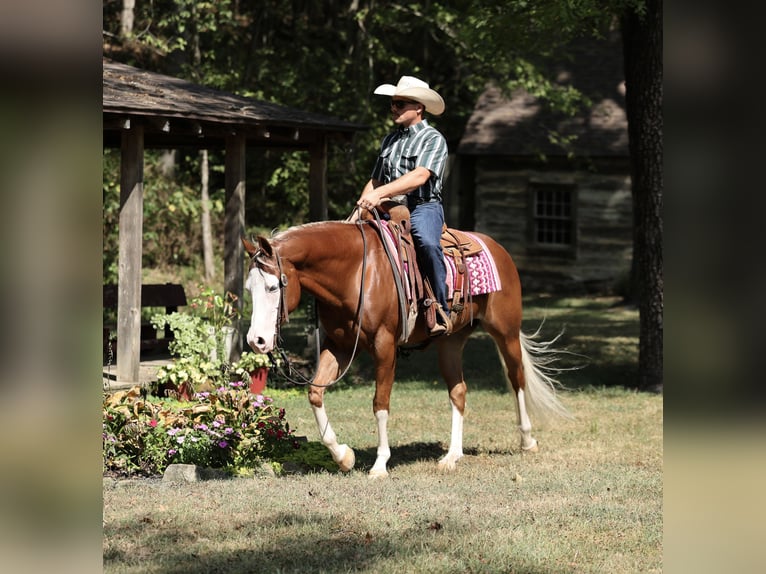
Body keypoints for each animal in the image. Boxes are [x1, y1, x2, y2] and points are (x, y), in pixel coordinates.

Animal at [242, 214, 569, 478]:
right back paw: (452, 456)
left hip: (506, 332)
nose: (256, 341)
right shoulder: (340, 345)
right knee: (459, 391)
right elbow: (315, 392)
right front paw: (344, 457)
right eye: (249, 288)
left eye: (272, 287)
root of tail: (497, 248)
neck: (357, 272)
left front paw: (379, 465)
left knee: (517, 380)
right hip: (451, 342)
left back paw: (527, 440)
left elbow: (380, 404)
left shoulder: (384, 346)